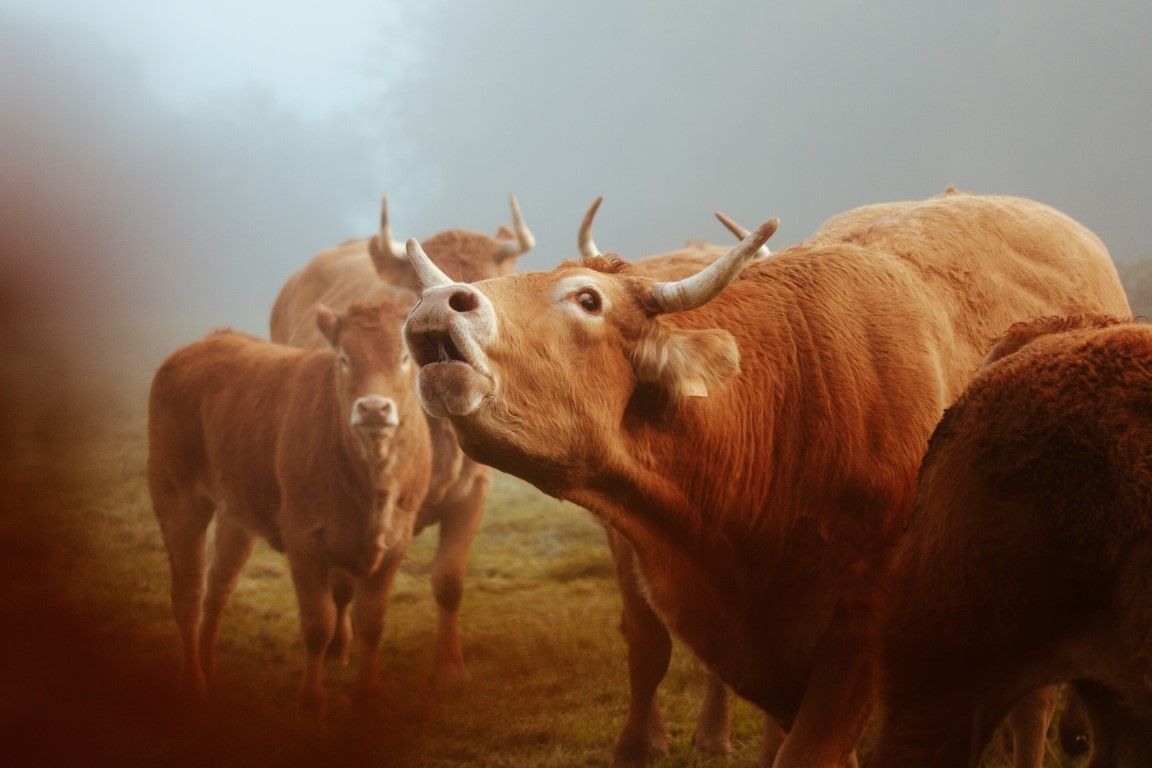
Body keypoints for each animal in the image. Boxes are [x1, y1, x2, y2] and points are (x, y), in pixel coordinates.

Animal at [148, 297, 431, 716]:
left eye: (404, 357)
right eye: (344, 357)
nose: (374, 409)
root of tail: (207, 343)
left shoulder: (396, 540)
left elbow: (372, 621)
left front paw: (367, 696)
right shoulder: (305, 539)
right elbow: (317, 624)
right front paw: (311, 700)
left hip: (236, 515)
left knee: (218, 588)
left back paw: (210, 665)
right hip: (177, 498)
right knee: (188, 593)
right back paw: (194, 684)